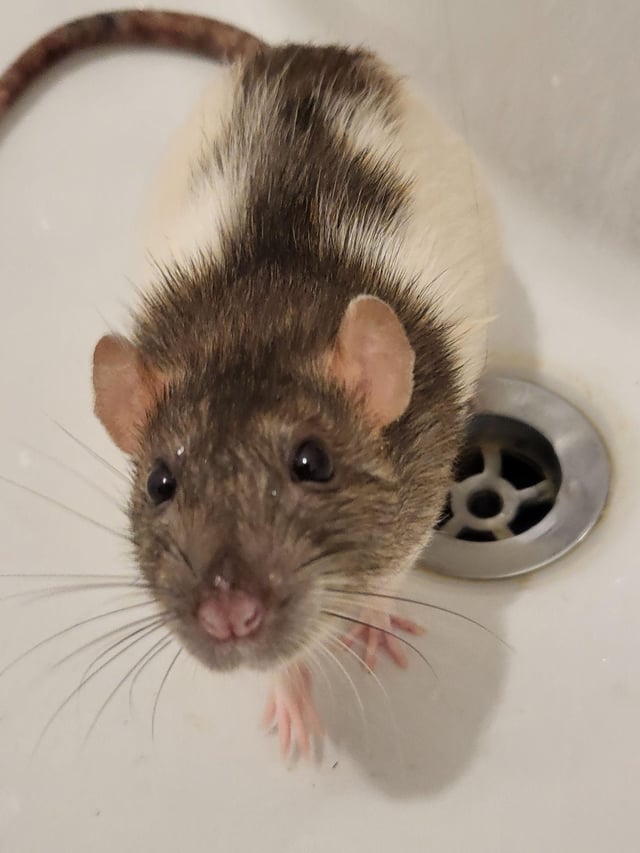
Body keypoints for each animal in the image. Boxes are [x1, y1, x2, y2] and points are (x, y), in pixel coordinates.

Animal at [1, 11, 501, 756]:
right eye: (160, 483)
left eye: (312, 462)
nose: (227, 614)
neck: (257, 330)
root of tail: (304, 51)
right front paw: (292, 699)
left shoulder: (420, 494)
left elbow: (390, 576)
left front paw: (372, 623)